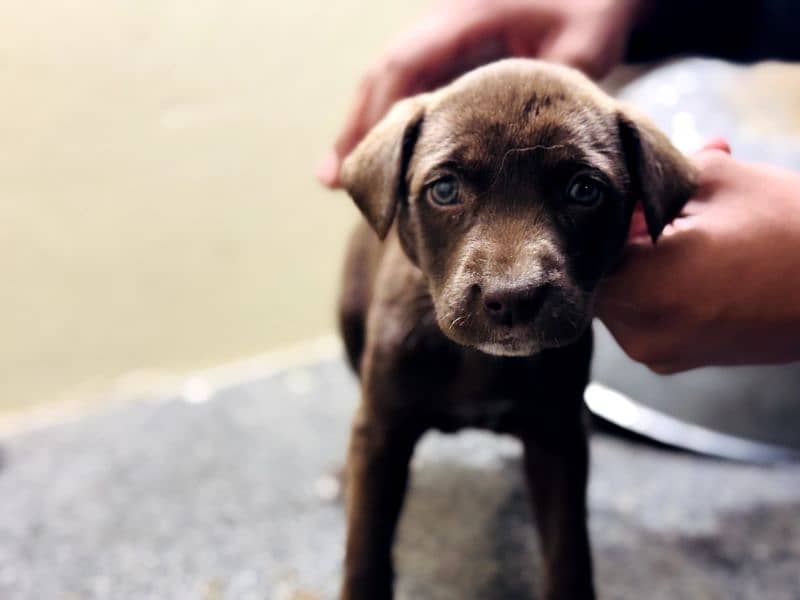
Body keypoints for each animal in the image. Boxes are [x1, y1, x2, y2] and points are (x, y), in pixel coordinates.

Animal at [336, 59, 692, 600]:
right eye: (444, 190)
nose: (513, 299)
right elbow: (366, 544)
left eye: (584, 190)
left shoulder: (558, 434)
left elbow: (568, 547)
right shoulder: (383, 429)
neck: (480, 359)